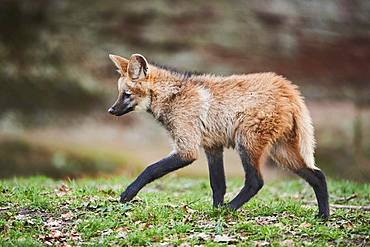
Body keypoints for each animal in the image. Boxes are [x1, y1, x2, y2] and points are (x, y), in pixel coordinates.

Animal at [107, 53, 330, 218]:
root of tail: (287, 88)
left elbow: (150, 169)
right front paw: (214, 209)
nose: (111, 110)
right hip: (280, 152)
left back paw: (229, 209)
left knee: (256, 182)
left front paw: (127, 193)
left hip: (247, 144)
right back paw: (323, 216)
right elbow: (218, 185)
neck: (172, 96)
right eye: (119, 94)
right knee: (318, 175)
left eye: (126, 94)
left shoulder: (188, 149)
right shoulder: (212, 147)